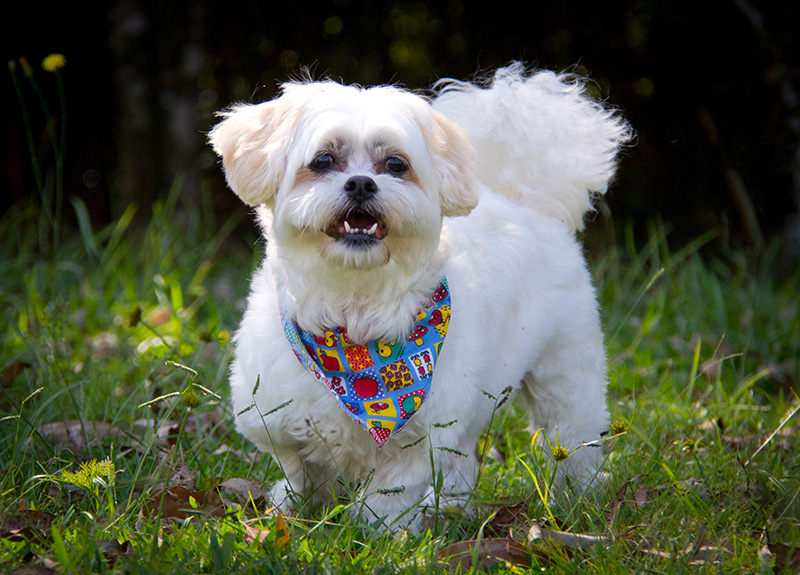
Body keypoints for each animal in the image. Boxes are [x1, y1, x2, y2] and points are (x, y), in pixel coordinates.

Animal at [208, 65, 632, 528]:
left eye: (396, 164)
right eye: (323, 161)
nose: (361, 183)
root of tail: (529, 201)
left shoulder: (419, 433)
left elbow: (387, 496)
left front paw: (375, 532)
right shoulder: (283, 417)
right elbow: (303, 471)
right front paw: (295, 510)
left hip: (566, 372)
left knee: (572, 433)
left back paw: (578, 497)